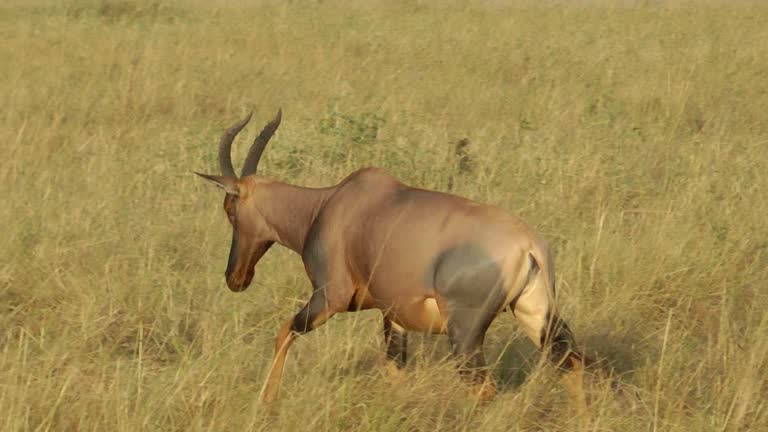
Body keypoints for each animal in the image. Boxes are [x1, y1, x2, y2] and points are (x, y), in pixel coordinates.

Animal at [195, 108, 584, 404]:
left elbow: (284, 332)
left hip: (466, 334)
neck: (329, 204)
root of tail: (529, 246)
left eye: (229, 208)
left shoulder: (329, 298)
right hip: (536, 314)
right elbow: (394, 370)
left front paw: (267, 401)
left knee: (485, 388)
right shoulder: (392, 313)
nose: (235, 278)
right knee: (573, 362)